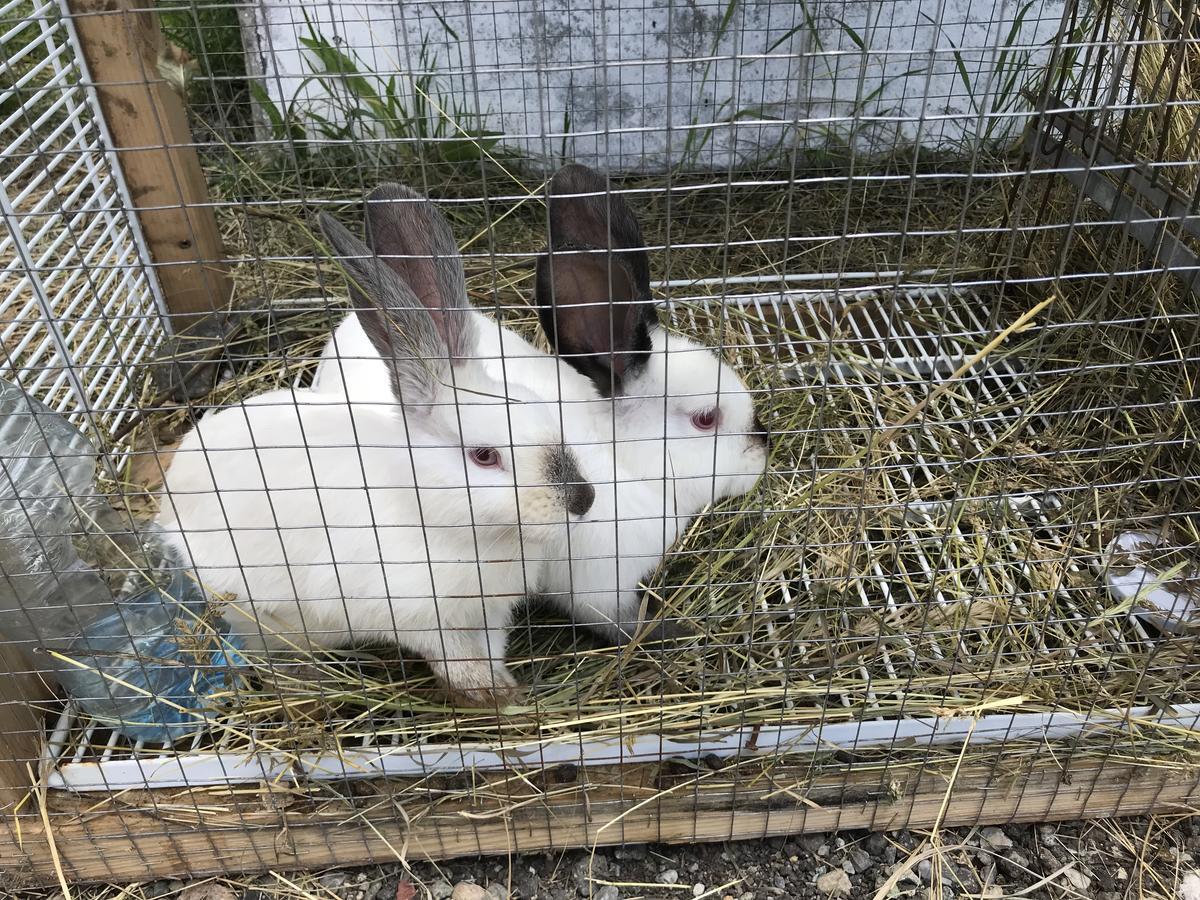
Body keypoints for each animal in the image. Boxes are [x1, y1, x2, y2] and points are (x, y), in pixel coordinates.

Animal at [154, 184, 595, 705]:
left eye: (546, 413)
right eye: (484, 456)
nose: (583, 499)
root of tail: (170, 494)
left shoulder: (488, 614)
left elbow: (488, 648)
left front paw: (504, 689)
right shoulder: (421, 618)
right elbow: (454, 659)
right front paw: (489, 694)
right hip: (252, 609)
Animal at [304, 168, 763, 648]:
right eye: (705, 419)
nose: (762, 450)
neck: (623, 461)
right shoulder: (598, 586)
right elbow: (619, 622)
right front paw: (671, 629)